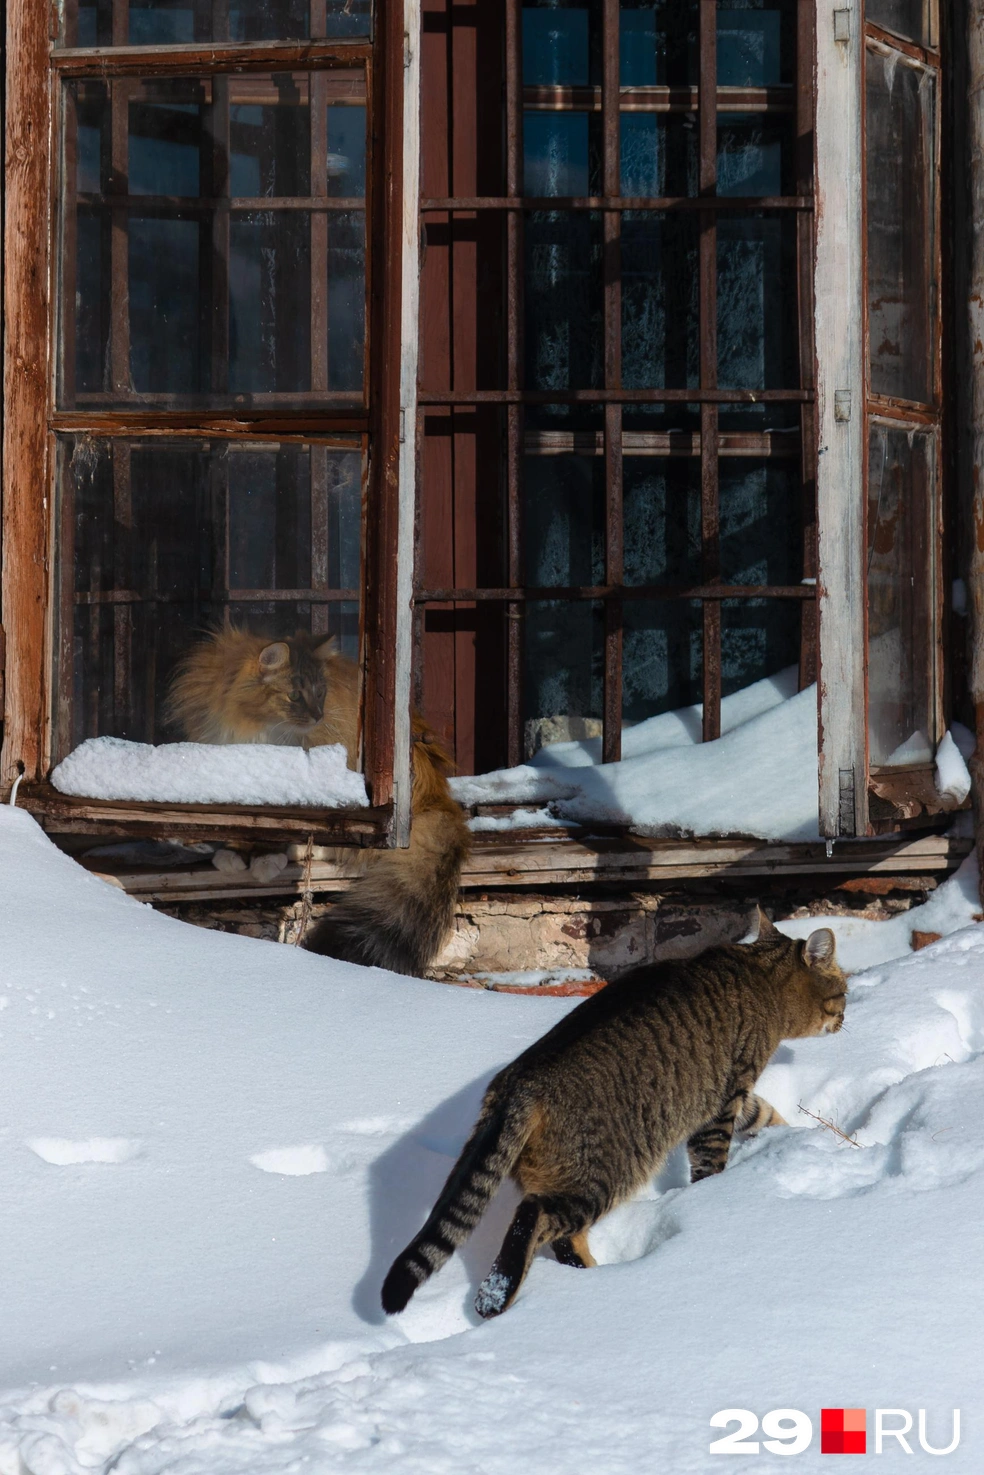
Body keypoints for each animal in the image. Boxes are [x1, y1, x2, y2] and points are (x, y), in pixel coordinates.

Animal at [168, 625, 472, 979]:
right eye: (295, 696)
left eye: (321, 693)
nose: (318, 715)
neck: (258, 730)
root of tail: (441, 798)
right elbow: (246, 824)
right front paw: (234, 853)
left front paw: (266, 859)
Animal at [383, 914, 849, 1321]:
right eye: (844, 991)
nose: (847, 1016)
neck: (759, 973)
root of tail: (519, 1085)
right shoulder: (723, 1099)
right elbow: (712, 1161)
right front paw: (715, 1195)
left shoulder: (732, 1098)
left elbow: (765, 1114)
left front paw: (802, 1138)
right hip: (603, 1174)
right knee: (535, 1219)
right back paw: (509, 1295)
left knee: (561, 1239)